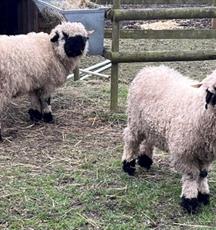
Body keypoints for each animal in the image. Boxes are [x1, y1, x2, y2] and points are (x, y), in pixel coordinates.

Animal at [122, 64, 216, 214]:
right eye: (208, 91)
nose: (209, 104)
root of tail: (149, 69)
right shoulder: (184, 152)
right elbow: (192, 175)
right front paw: (190, 201)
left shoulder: (205, 153)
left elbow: (203, 174)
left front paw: (203, 195)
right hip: (136, 120)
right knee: (131, 140)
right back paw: (128, 165)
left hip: (151, 123)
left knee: (149, 140)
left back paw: (145, 160)